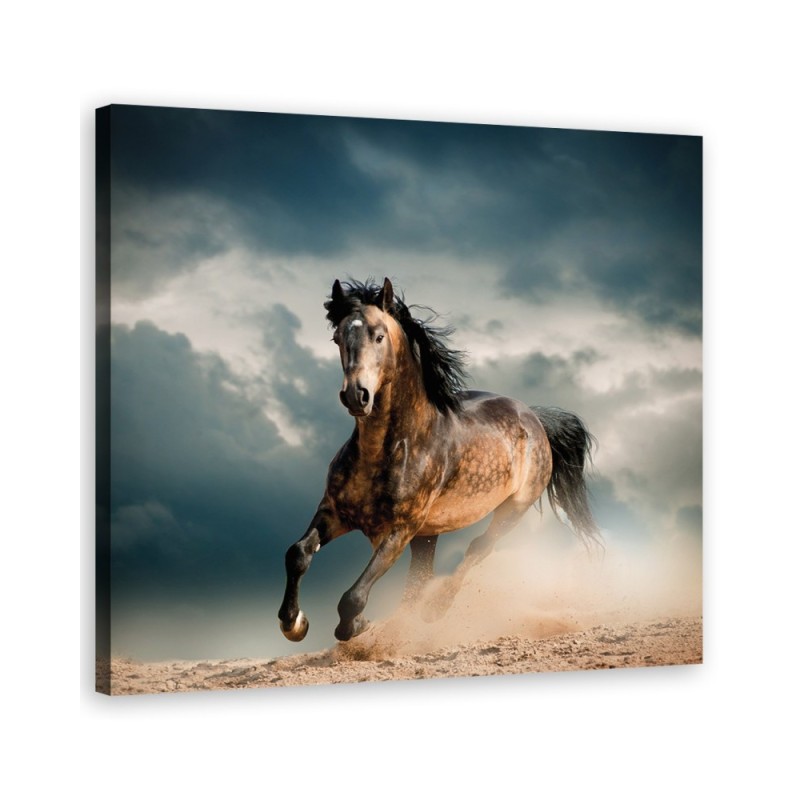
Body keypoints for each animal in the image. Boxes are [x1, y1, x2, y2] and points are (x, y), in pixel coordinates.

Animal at [278, 278, 601, 643]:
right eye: (337, 338)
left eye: (379, 336)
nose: (356, 396)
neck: (386, 450)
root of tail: (535, 418)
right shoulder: (334, 512)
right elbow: (298, 554)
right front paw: (294, 623)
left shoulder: (399, 530)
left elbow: (353, 597)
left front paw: (356, 626)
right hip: (428, 535)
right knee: (420, 580)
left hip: (511, 510)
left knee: (477, 549)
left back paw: (435, 609)